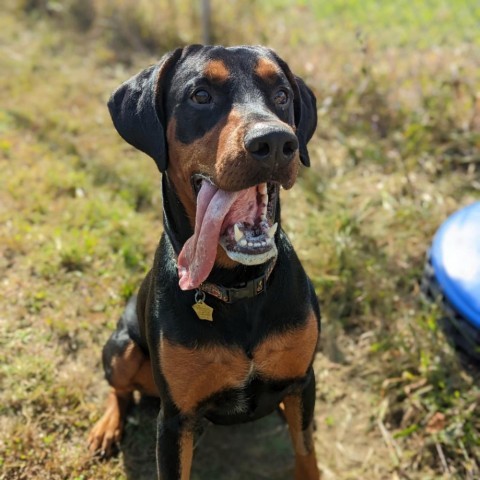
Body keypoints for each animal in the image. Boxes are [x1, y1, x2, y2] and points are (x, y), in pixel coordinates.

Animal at [88, 45, 320, 480]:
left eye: (281, 94)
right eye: (200, 95)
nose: (275, 141)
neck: (237, 285)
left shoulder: (302, 381)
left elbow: (306, 452)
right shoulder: (174, 420)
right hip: (123, 347)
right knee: (119, 388)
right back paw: (107, 426)